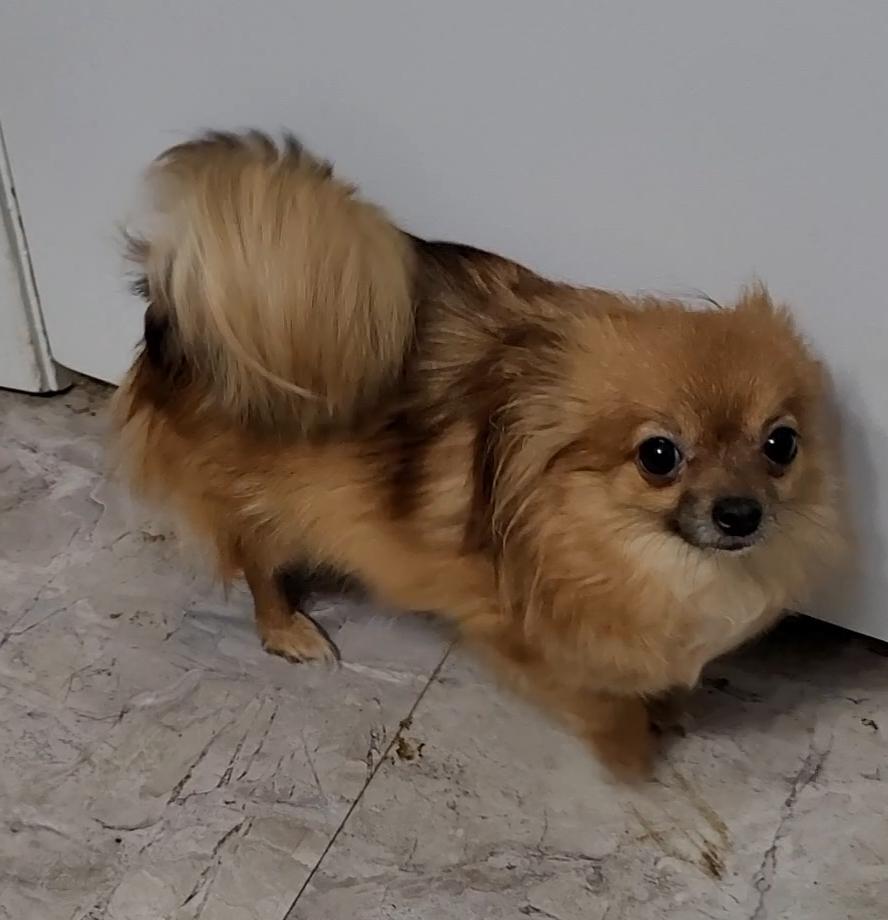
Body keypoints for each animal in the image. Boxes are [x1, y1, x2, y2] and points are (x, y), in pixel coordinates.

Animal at [112, 131, 845, 778]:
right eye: (659, 455)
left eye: (780, 444)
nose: (740, 514)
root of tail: (181, 300)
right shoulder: (518, 624)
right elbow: (601, 700)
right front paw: (637, 757)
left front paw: (665, 707)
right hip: (265, 494)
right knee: (257, 560)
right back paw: (287, 627)